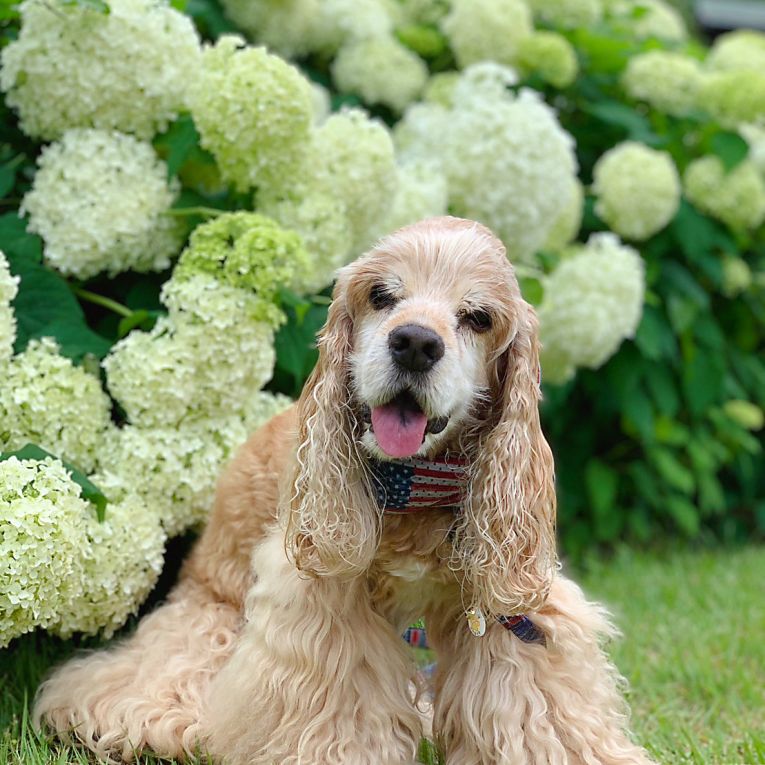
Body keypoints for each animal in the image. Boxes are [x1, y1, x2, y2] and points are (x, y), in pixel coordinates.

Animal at [35, 216, 652, 764]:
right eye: (381, 294)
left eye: (477, 317)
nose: (415, 342)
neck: (415, 484)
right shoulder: (322, 604)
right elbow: (343, 709)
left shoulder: (507, 612)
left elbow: (533, 707)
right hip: (205, 620)